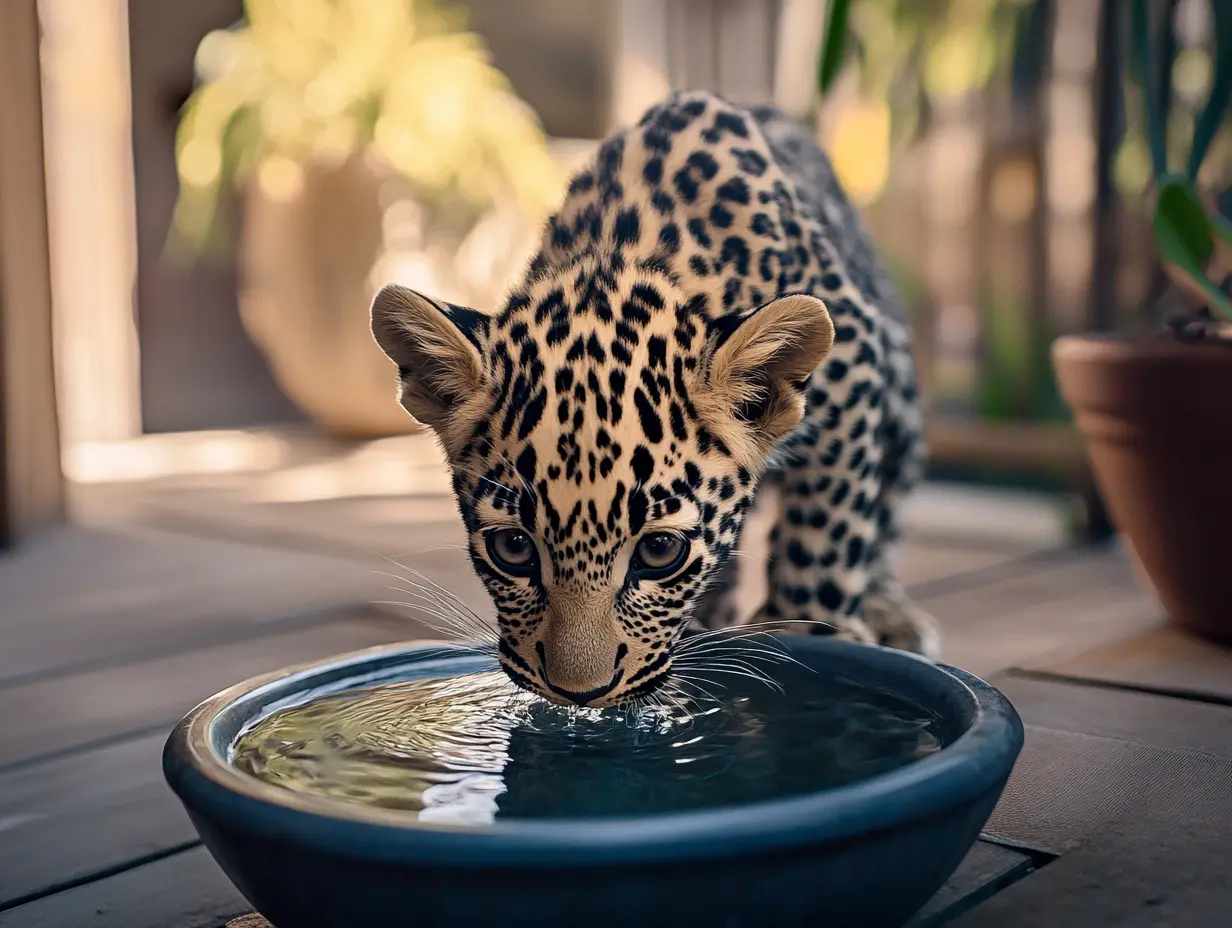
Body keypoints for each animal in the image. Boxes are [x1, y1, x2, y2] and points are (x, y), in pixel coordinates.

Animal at [370, 90, 940, 708]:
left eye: (661, 552)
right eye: (514, 548)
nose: (581, 694)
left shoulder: (853, 372)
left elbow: (825, 537)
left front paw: (805, 627)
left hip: (901, 399)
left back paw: (890, 614)